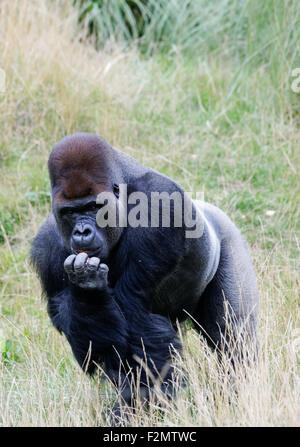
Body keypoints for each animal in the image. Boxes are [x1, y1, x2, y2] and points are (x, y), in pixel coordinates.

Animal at [30, 133, 258, 416]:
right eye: (70, 212)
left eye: (94, 206)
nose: (82, 232)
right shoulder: (46, 249)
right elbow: (98, 348)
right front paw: (87, 288)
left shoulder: (160, 207)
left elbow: (137, 319)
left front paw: (146, 404)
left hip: (230, 239)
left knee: (232, 336)